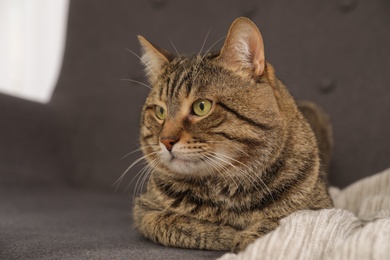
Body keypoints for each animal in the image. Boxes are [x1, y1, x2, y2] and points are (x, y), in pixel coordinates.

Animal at [133, 17, 334, 253]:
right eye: (160, 112)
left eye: (201, 107)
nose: (165, 141)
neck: (226, 188)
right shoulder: (144, 210)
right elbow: (174, 223)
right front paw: (226, 234)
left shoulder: (321, 210)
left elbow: (280, 221)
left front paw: (248, 237)